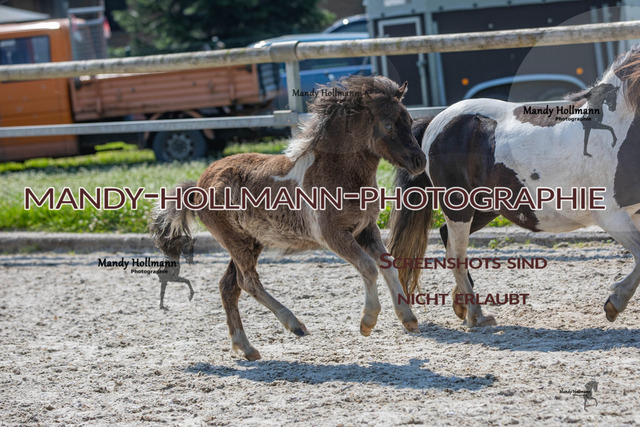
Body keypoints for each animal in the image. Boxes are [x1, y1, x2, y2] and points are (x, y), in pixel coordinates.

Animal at [150, 75, 426, 360]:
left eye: (409, 119)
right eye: (388, 124)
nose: (419, 161)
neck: (338, 172)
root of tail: (198, 185)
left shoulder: (366, 229)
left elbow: (388, 264)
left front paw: (408, 318)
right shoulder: (334, 235)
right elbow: (369, 267)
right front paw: (367, 322)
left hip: (249, 242)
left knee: (228, 286)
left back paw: (246, 347)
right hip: (238, 243)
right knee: (247, 282)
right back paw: (295, 324)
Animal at [389, 43, 640, 327]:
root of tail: (435, 121)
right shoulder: (611, 215)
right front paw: (615, 303)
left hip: (485, 208)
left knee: (447, 238)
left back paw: (462, 306)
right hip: (459, 207)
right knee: (456, 253)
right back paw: (477, 314)